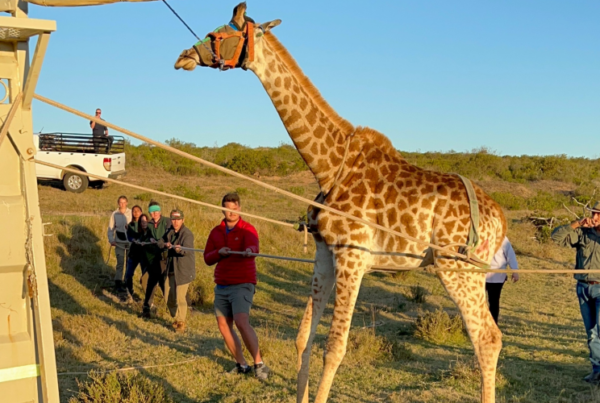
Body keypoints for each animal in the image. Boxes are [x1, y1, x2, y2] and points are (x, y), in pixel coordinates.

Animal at [173, 3, 506, 403]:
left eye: (219, 33)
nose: (182, 57)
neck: (327, 166)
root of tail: (500, 220)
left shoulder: (353, 256)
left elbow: (335, 347)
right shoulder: (324, 255)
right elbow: (304, 339)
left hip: (458, 269)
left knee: (487, 338)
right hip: (469, 271)